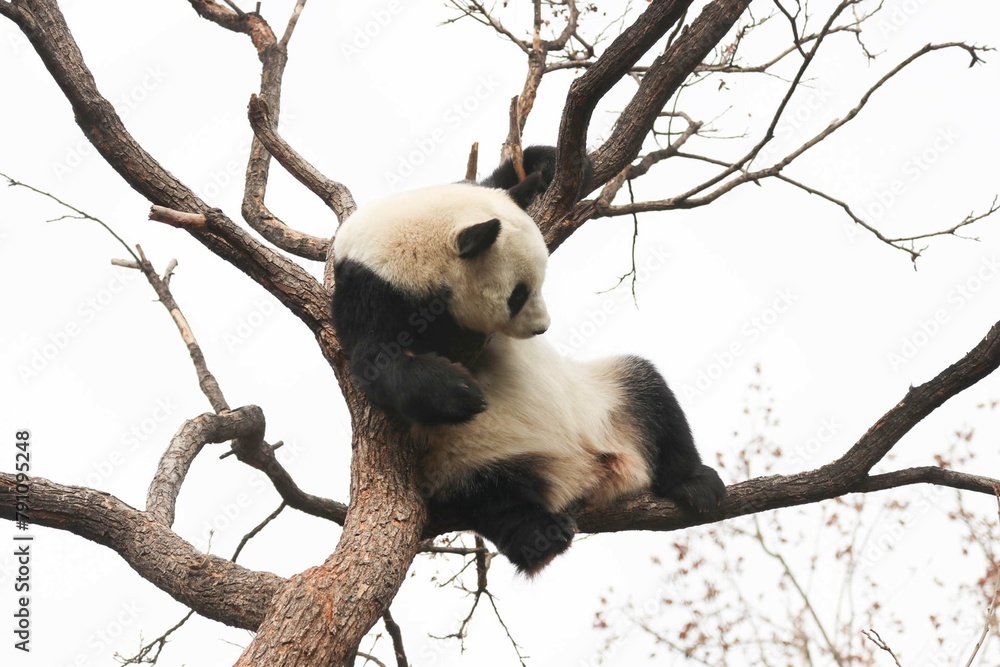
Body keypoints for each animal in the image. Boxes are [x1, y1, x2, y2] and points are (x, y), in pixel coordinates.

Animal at [332, 146, 726, 574]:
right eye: (518, 294)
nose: (542, 328)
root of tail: (590, 473)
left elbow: (511, 179)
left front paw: (556, 166)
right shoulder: (371, 293)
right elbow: (374, 361)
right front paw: (457, 391)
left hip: (606, 393)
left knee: (653, 395)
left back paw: (695, 484)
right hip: (466, 462)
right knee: (493, 499)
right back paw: (542, 536)